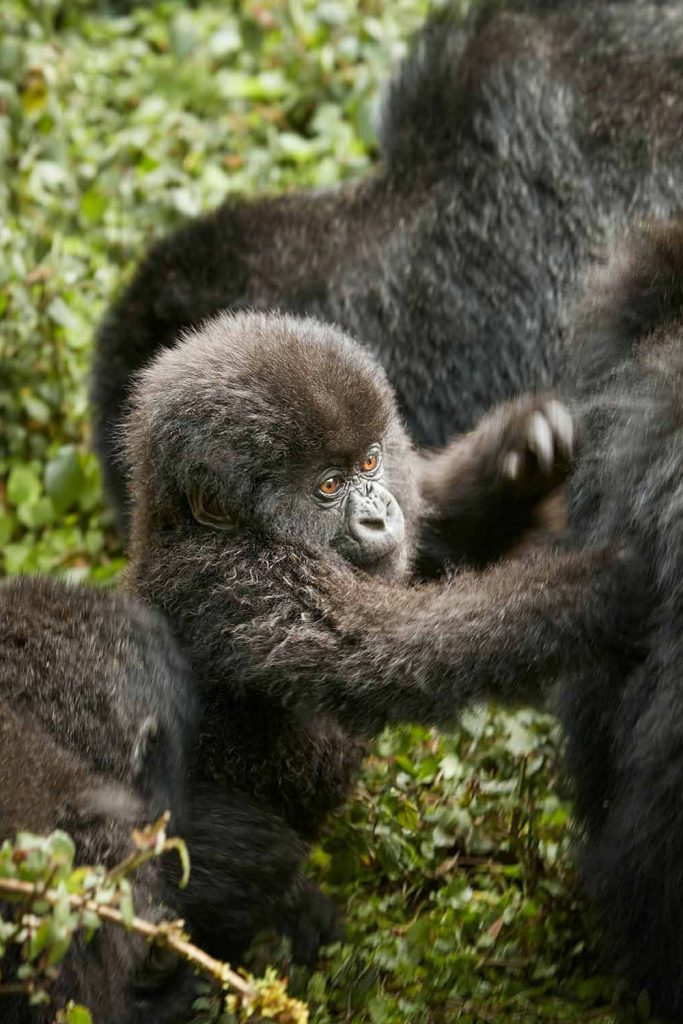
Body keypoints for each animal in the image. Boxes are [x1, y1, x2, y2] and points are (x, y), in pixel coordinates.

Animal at [117, 309, 644, 966]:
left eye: (368, 465)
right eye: (327, 487)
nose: (377, 515)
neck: (189, 526)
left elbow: (436, 522)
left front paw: (523, 453)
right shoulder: (239, 583)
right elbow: (391, 652)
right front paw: (603, 586)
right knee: (247, 853)